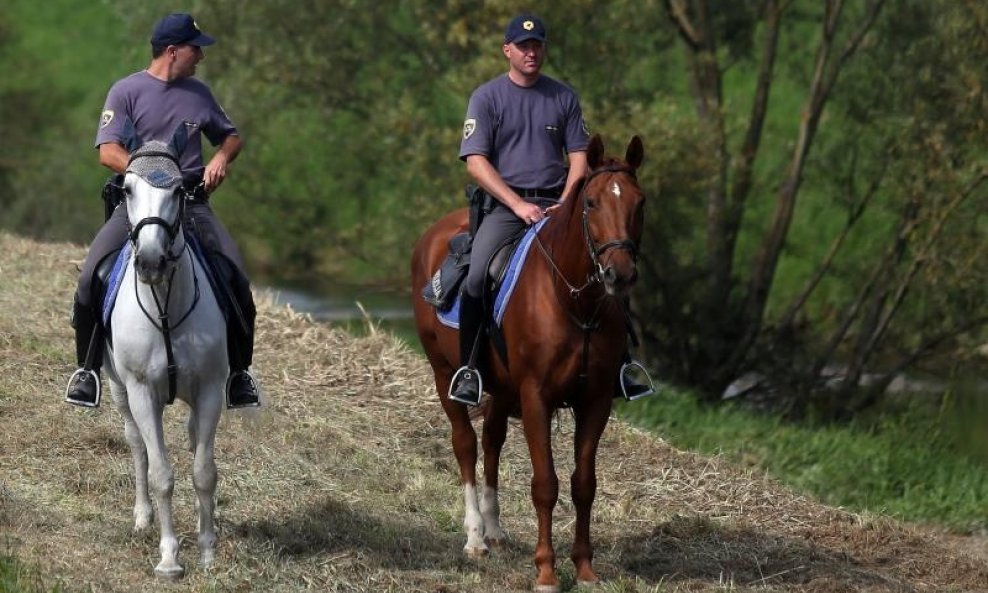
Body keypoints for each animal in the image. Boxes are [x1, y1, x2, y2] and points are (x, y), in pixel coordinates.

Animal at [103, 132, 228, 580]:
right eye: (127, 190)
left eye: (178, 191)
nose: (151, 262)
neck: (166, 307)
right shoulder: (141, 390)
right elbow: (161, 474)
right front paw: (170, 558)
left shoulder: (210, 389)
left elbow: (203, 471)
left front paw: (207, 550)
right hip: (120, 390)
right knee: (136, 443)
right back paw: (143, 518)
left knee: (191, 440)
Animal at [412, 135, 648, 592]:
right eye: (591, 202)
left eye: (639, 202)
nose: (620, 273)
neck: (571, 299)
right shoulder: (536, 397)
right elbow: (545, 485)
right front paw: (546, 572)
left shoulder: (595, 401)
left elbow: (583, 484)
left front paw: (585, 569)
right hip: (443, 373)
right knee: (466, 444)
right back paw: (475, 538)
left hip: (503, 390)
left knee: (492, 441)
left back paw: (495, 531)